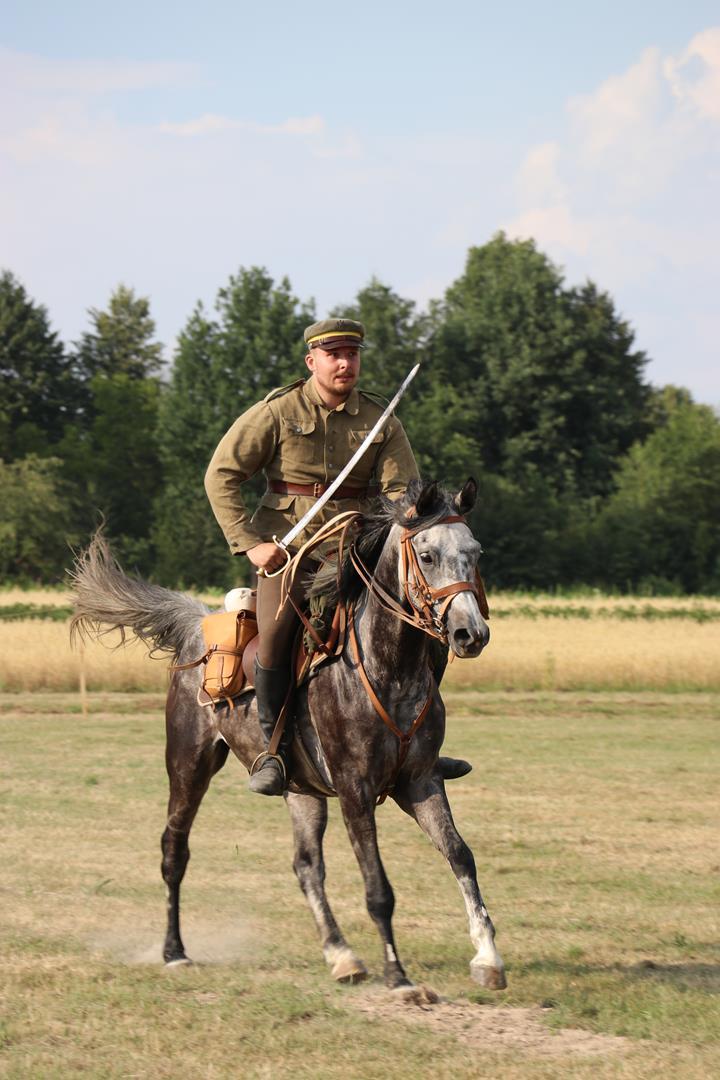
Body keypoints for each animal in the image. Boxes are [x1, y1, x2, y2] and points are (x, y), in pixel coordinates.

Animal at [70, 478, 506, 992]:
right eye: (427, 554)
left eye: (474, 553)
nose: (470, 634)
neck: (389, 670)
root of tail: (196, 627)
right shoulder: (355, 791)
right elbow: (378, 887)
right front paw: (398, 976)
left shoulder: (420, 782)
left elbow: (460, 856)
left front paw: (488, 957)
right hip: (189, 764)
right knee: (174, 850)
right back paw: (174, 952)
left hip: (302, 789)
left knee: (306, 867)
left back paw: (341, 954)